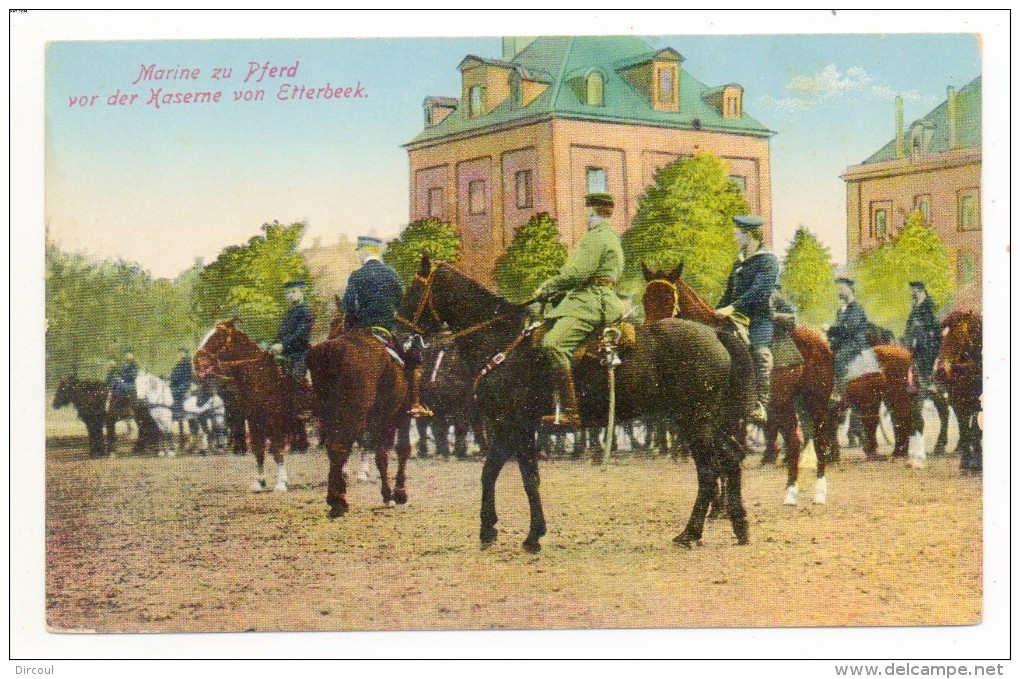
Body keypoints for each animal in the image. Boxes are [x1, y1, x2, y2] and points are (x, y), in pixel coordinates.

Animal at [191, 320, 299, 489]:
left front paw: (281, 483)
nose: (196, 361)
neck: (260, 374)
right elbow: (258, 447)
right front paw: (260, 482)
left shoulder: (274, 418)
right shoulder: (253, 417)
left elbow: (277, 447)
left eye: (216, 337)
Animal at [303, 320, 412, 515]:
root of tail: (332, 349)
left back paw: (336, 496)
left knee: (334, 448)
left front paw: (388, 494)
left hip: (330, 413)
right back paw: (338, 501)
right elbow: (399, 450)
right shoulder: (399, 415)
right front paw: (397, 493)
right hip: (354, 415)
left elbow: (381, 453)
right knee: (339, 448)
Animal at [401, 253, 754, 550]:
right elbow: (515, 476)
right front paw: (514, 532)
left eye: (412, 290)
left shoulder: (511, 425)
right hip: (709, 421)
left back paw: (691, 533)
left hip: (695, 420)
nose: (402, 338)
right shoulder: (518, 428)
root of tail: (716, 334)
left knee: (709, 470)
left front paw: (508, 533)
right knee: (730, 458)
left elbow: (506, 475)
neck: (503, 343)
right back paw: (739, 525)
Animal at [644, 260, 836, 499]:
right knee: (794, 441)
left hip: (815, 400)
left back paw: (820, 493)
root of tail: (820, 340)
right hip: (783, 404)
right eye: (645, 298)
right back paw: (790, 493)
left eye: (669, 298)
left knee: (819, 441)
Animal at [934, 309, 983, 471]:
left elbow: (975, 428)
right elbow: (964, 427)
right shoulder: (958, 400)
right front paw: (966, 461)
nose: (940, 371)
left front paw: (976, 460)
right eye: (941, 337)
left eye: (960, 335)